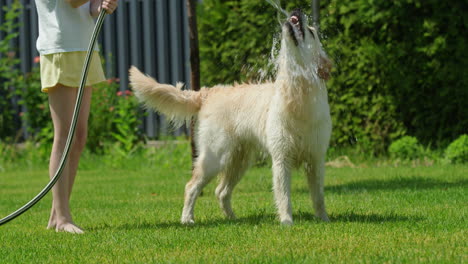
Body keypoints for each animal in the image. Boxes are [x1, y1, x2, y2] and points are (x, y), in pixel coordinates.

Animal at [128, 9, 332, 225]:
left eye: (311, 32)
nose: (296, 11)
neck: (299, 96)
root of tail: (209, 92)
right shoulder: (281, 158)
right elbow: (284, 196)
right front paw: (286, 222)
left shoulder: (316, 159)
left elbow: (318, 196)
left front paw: (324, 219)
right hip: (215, 157)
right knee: (191, 187)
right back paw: (187, 219)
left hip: (239, 161)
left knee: (221, 191)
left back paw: (233, 219)